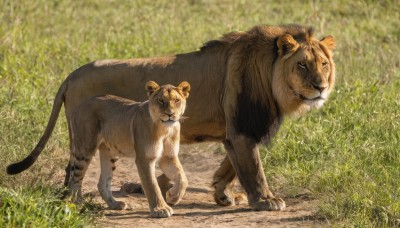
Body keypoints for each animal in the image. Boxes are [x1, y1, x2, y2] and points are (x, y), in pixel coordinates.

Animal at [68, 80, 190, 217]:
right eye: (160, 100)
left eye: (176, 100)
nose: (170, 114)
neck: (164, 129)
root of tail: (80, 105)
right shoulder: (144, 158)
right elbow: (152, 184)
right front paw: (160, 209)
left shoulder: (168, 157)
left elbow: (183, 178)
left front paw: (173, 196)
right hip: (85, 148)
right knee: (75, 178)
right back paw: (78, 202)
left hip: (110, 152)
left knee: (102, 183)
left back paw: (115, 204)